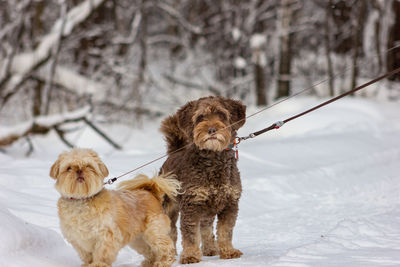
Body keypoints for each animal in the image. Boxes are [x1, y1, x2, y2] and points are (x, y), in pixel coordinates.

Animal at [49, 149, 180, 267]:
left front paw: (98, 264)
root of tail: (150, 192)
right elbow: (87, 255)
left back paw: (164, 262)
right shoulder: (78, 239)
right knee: (150, 250)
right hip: (139, 240)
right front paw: (88, 264)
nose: (79, 170)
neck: (81, 200)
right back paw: (150, 262)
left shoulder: (106, 235)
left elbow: (101, 253)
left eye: (88, 166)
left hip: (154, 233)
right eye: (69, 168)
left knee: (167, 247)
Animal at [159, 96, 247, 264]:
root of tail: (174, 153)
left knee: (206, 228)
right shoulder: (191, 205)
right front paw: (190, 255)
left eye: (221, 115)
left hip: (207, 211)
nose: (212, 130)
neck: (213, 160)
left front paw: (228, 251)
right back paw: (169, 254)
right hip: (169, 207)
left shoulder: (230, 203)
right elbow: (191, 235)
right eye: (200, 117)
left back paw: (210, 248)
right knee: (171, 232)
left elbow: (225, 231)